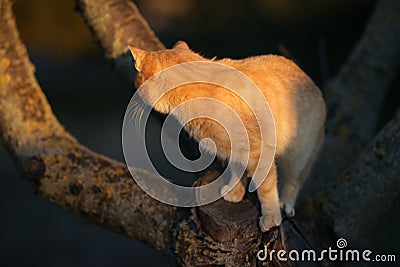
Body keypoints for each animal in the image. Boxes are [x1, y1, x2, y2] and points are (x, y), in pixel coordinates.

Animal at [128, 40, 324, 232]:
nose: (135, 88)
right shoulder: (233, 150)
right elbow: (236, 169)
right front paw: (235, 192)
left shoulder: (259, 151)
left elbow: (266, 189)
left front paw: (270, 218)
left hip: (298, 156)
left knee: (294, 181)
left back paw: (285, 204)